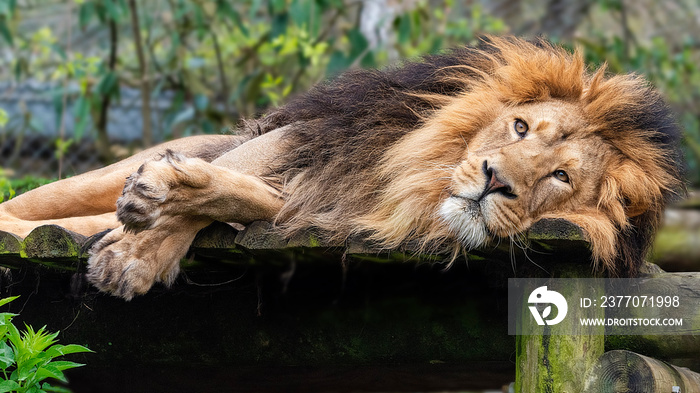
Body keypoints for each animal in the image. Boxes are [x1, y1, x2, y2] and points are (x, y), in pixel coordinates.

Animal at [0, 38, 684, 298]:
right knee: (30, 208)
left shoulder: (327, 204)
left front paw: (146, 239)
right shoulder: (302, 140)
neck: (415, 185)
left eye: (561, 178)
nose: (496, 180)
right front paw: (137, 243)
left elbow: (248, 199)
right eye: (520, 128)